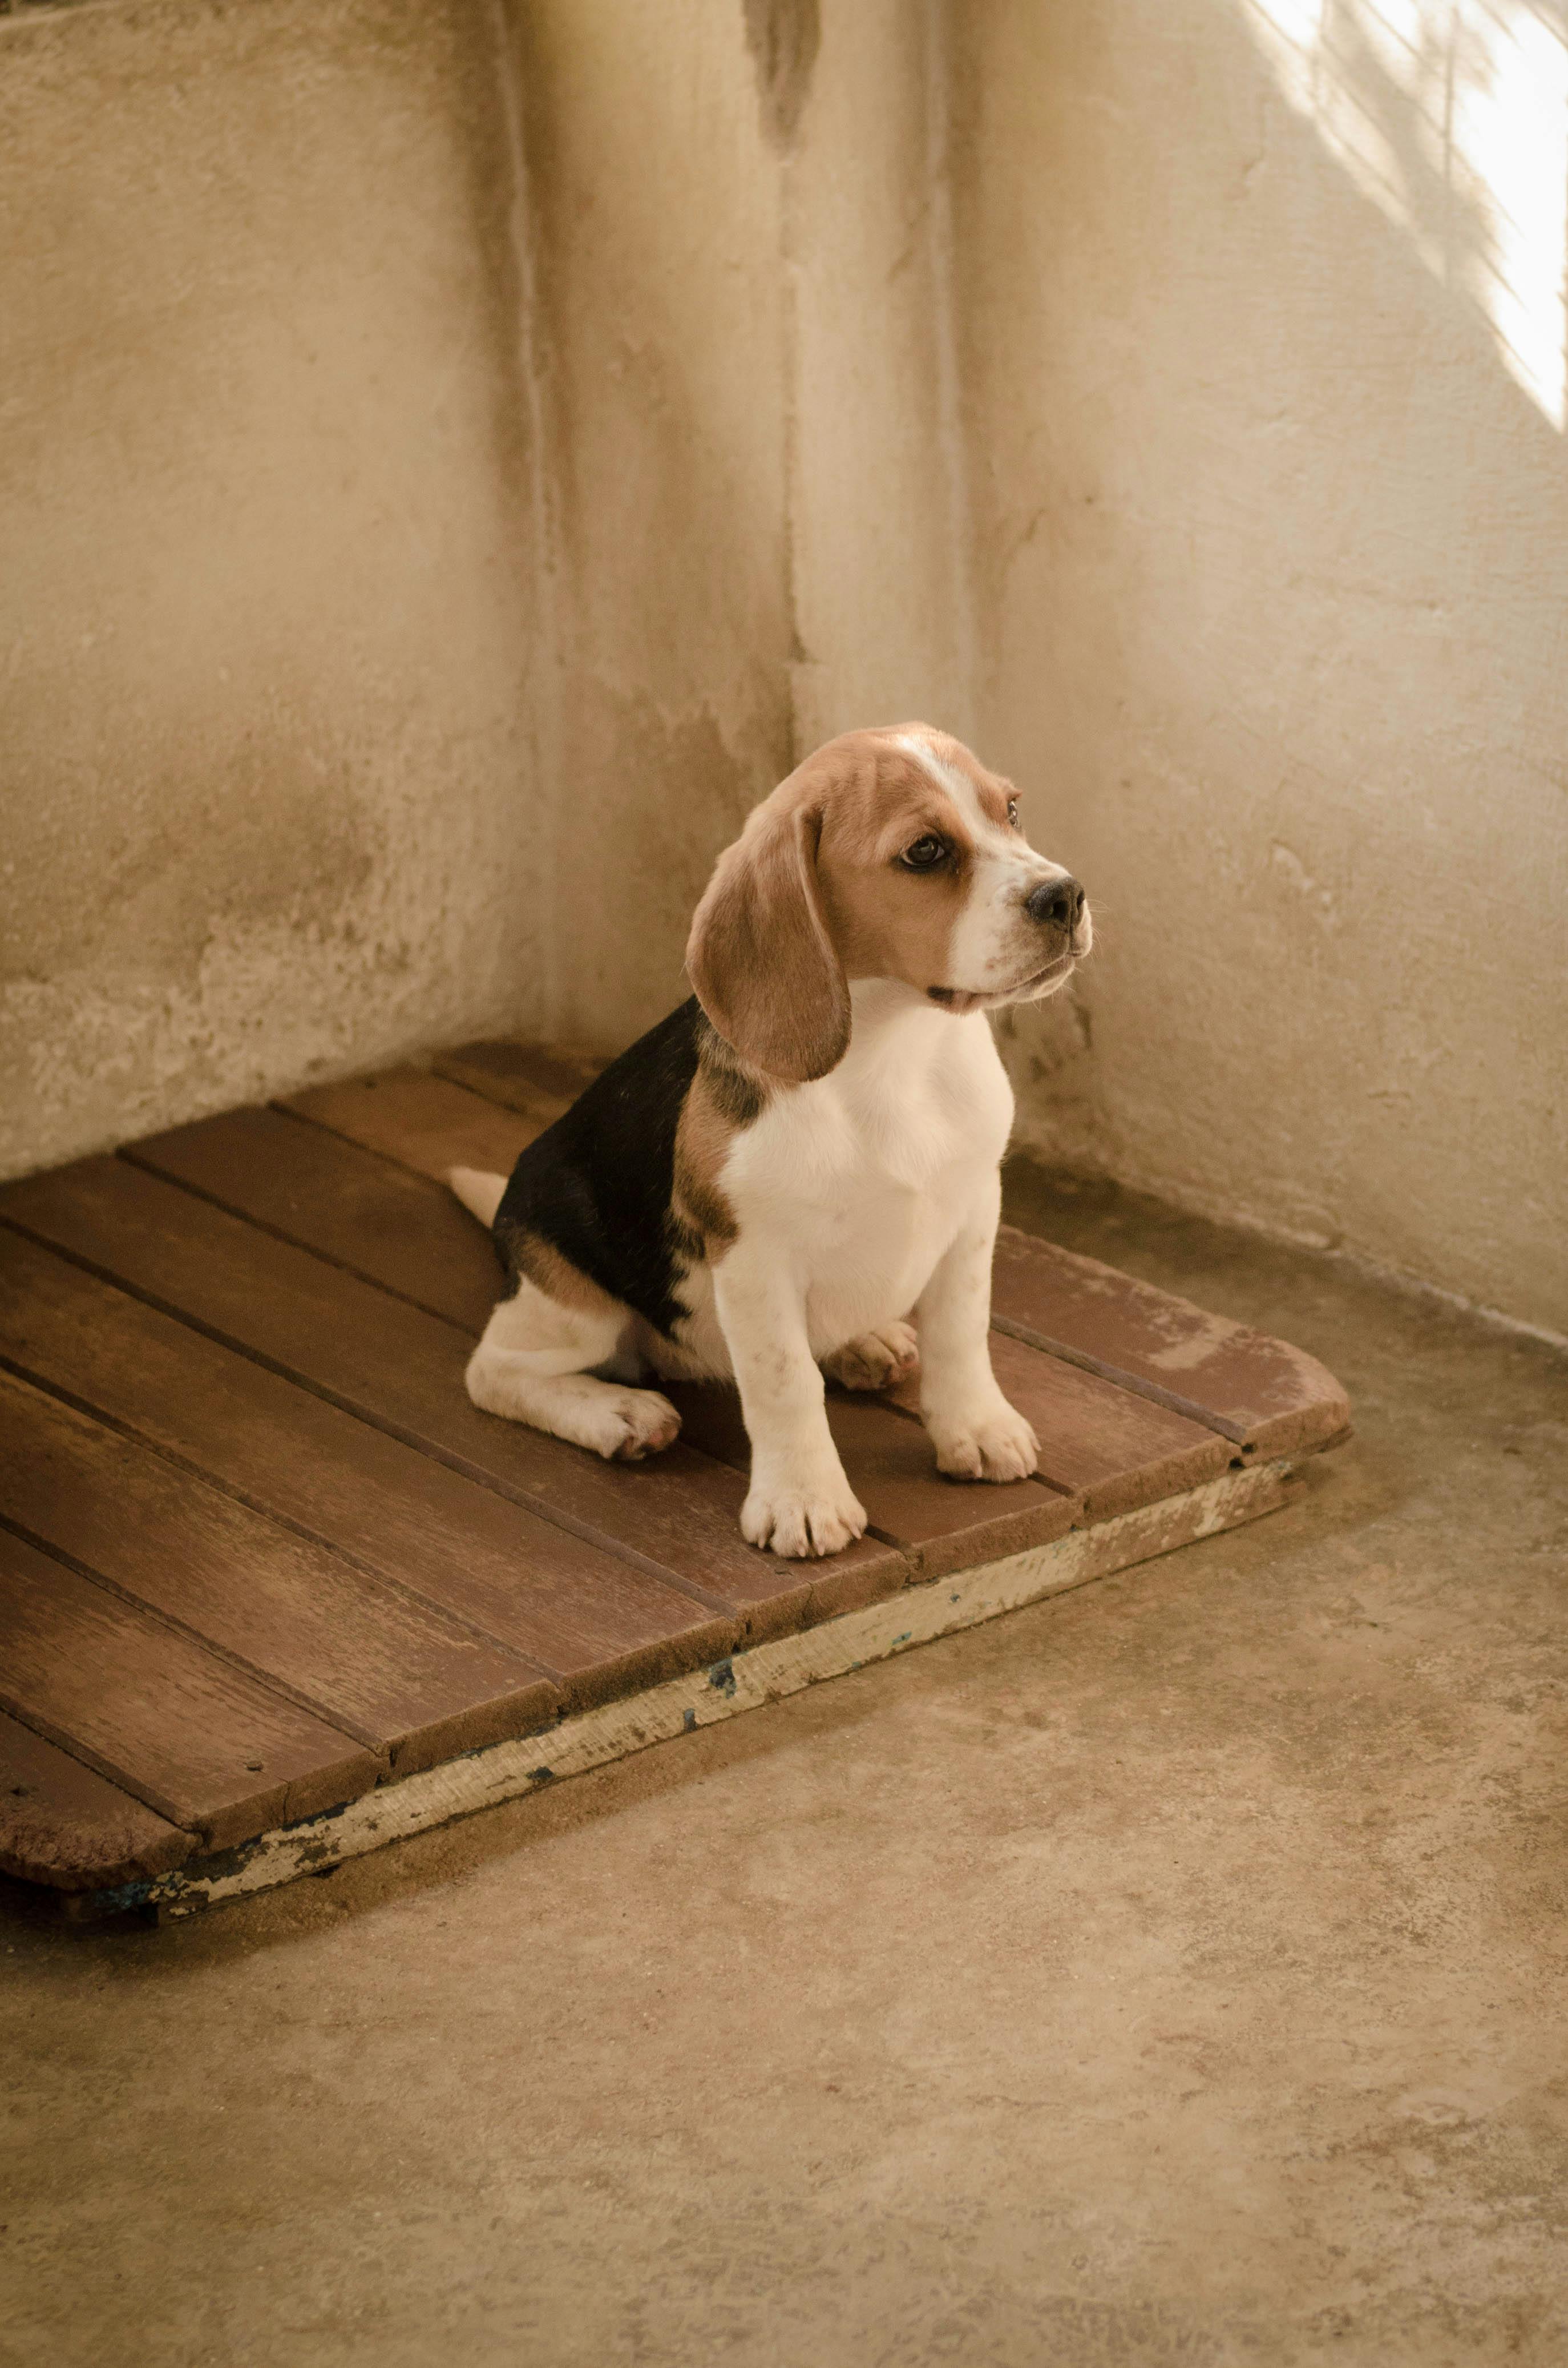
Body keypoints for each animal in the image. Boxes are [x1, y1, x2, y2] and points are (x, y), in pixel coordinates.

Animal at [452, 729, 1094, 1563]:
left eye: (1011, 810)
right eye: (925, 851)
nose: (1066, 896)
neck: (895, 1053)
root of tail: (508, 1211)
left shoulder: (973, 1208)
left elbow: (961, 1331)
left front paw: (977, 1430)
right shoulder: (754, 1258)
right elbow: (787, 1383)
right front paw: (804, 1501)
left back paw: (864, 1342)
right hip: (570, 1304)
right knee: (495, 1372)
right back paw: (618, 1415)